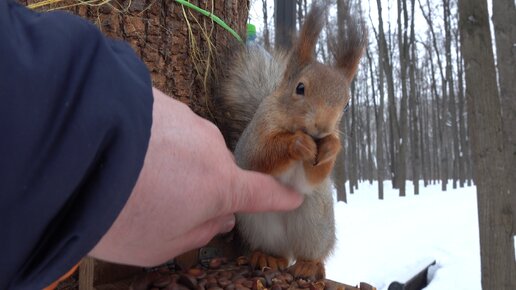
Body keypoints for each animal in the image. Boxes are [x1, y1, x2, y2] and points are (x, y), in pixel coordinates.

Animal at [214, 0, 366, 280]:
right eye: (300, 88)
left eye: (347, 104)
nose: (322, 127)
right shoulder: (253, 141)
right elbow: (260, 157)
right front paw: (296, 144)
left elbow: (313, 178)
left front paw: (331, 147)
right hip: (259, 222)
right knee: (279, 253)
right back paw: (267, 257)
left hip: (316, 224)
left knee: (308, 252)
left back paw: (309, 264)